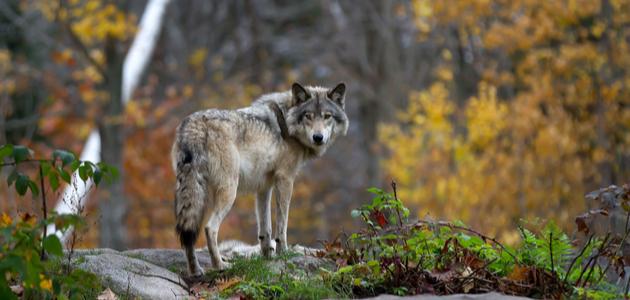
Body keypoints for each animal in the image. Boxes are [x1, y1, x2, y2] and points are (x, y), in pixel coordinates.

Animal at [172, 81, 350, 274]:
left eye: (327, 116)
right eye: (308, 116)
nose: (318, 137)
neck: (287, 121)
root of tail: (193, 126)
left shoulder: (264, 187)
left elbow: (265, 229)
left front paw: (267, 257)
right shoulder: (285, 179)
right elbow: (282, 225)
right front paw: (283, 253)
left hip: (195, 195)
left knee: (188, 234)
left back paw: (196, 271)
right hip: (229, 191)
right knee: (209, 228)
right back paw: (220, 265)